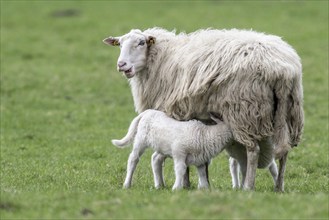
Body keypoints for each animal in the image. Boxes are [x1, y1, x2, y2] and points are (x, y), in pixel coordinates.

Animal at [104, 27, 304, 191]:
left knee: (253, 150)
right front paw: (202, 183)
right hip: (288, 112)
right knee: (284, 151)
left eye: (141, 42)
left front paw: (186, 183)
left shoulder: (177, 113)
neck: (162, 57)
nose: (121, 65)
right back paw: (279, 187)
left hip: (245, 110)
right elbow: (201, 155)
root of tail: (283, 69)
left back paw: (248, 186)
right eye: (119, 44)